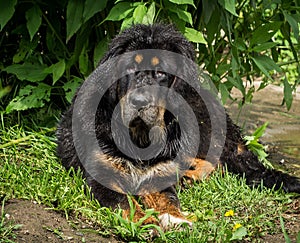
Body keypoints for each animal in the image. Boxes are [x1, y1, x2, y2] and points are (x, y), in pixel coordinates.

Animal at [56, 23, 300, 229]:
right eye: (129, 69)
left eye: (161, 73)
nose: (139, 101)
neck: (140, 138)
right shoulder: (103, 173)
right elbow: (124, 201)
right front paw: (143, 222)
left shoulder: (159, 171)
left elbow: (168, 199)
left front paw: (176, 219)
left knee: (219, 161)